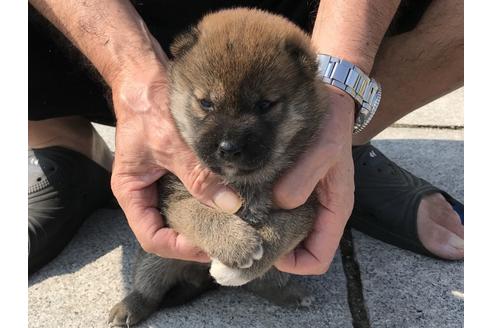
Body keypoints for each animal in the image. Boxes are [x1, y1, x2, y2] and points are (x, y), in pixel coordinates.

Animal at [108, 8, 330, 328]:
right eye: (206, 103)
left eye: (264, 104)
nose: (228, 147)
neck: (244, 183)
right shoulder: (176, 197)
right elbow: (200, 214)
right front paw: (237, 244)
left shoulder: (304, 204)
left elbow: (280, 231)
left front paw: (238, 264)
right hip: (155, 258)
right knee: (148, 286)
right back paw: (130, 306)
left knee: (264, 283)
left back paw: (290, 293)